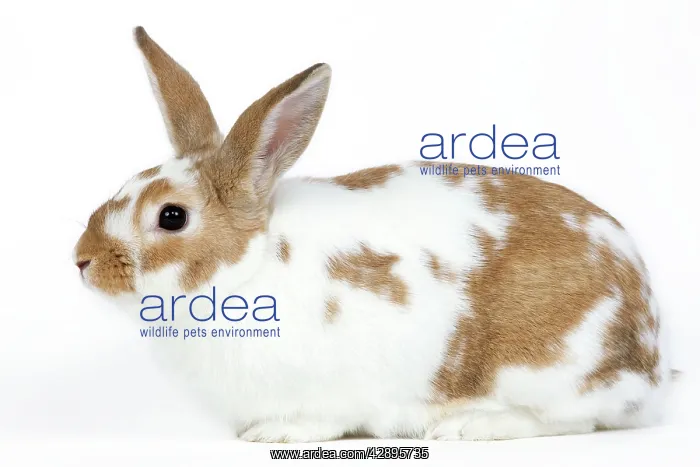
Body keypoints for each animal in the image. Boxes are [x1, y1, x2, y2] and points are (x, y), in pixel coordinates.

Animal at [73, 26, 673, 442]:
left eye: (171, 217)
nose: (82, 260)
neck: (248, 270)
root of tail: (652, 355)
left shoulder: (333, 386)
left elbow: (319, 419)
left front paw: (273, 433)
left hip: (546, 372)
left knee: (574, 421)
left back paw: (470, 427)